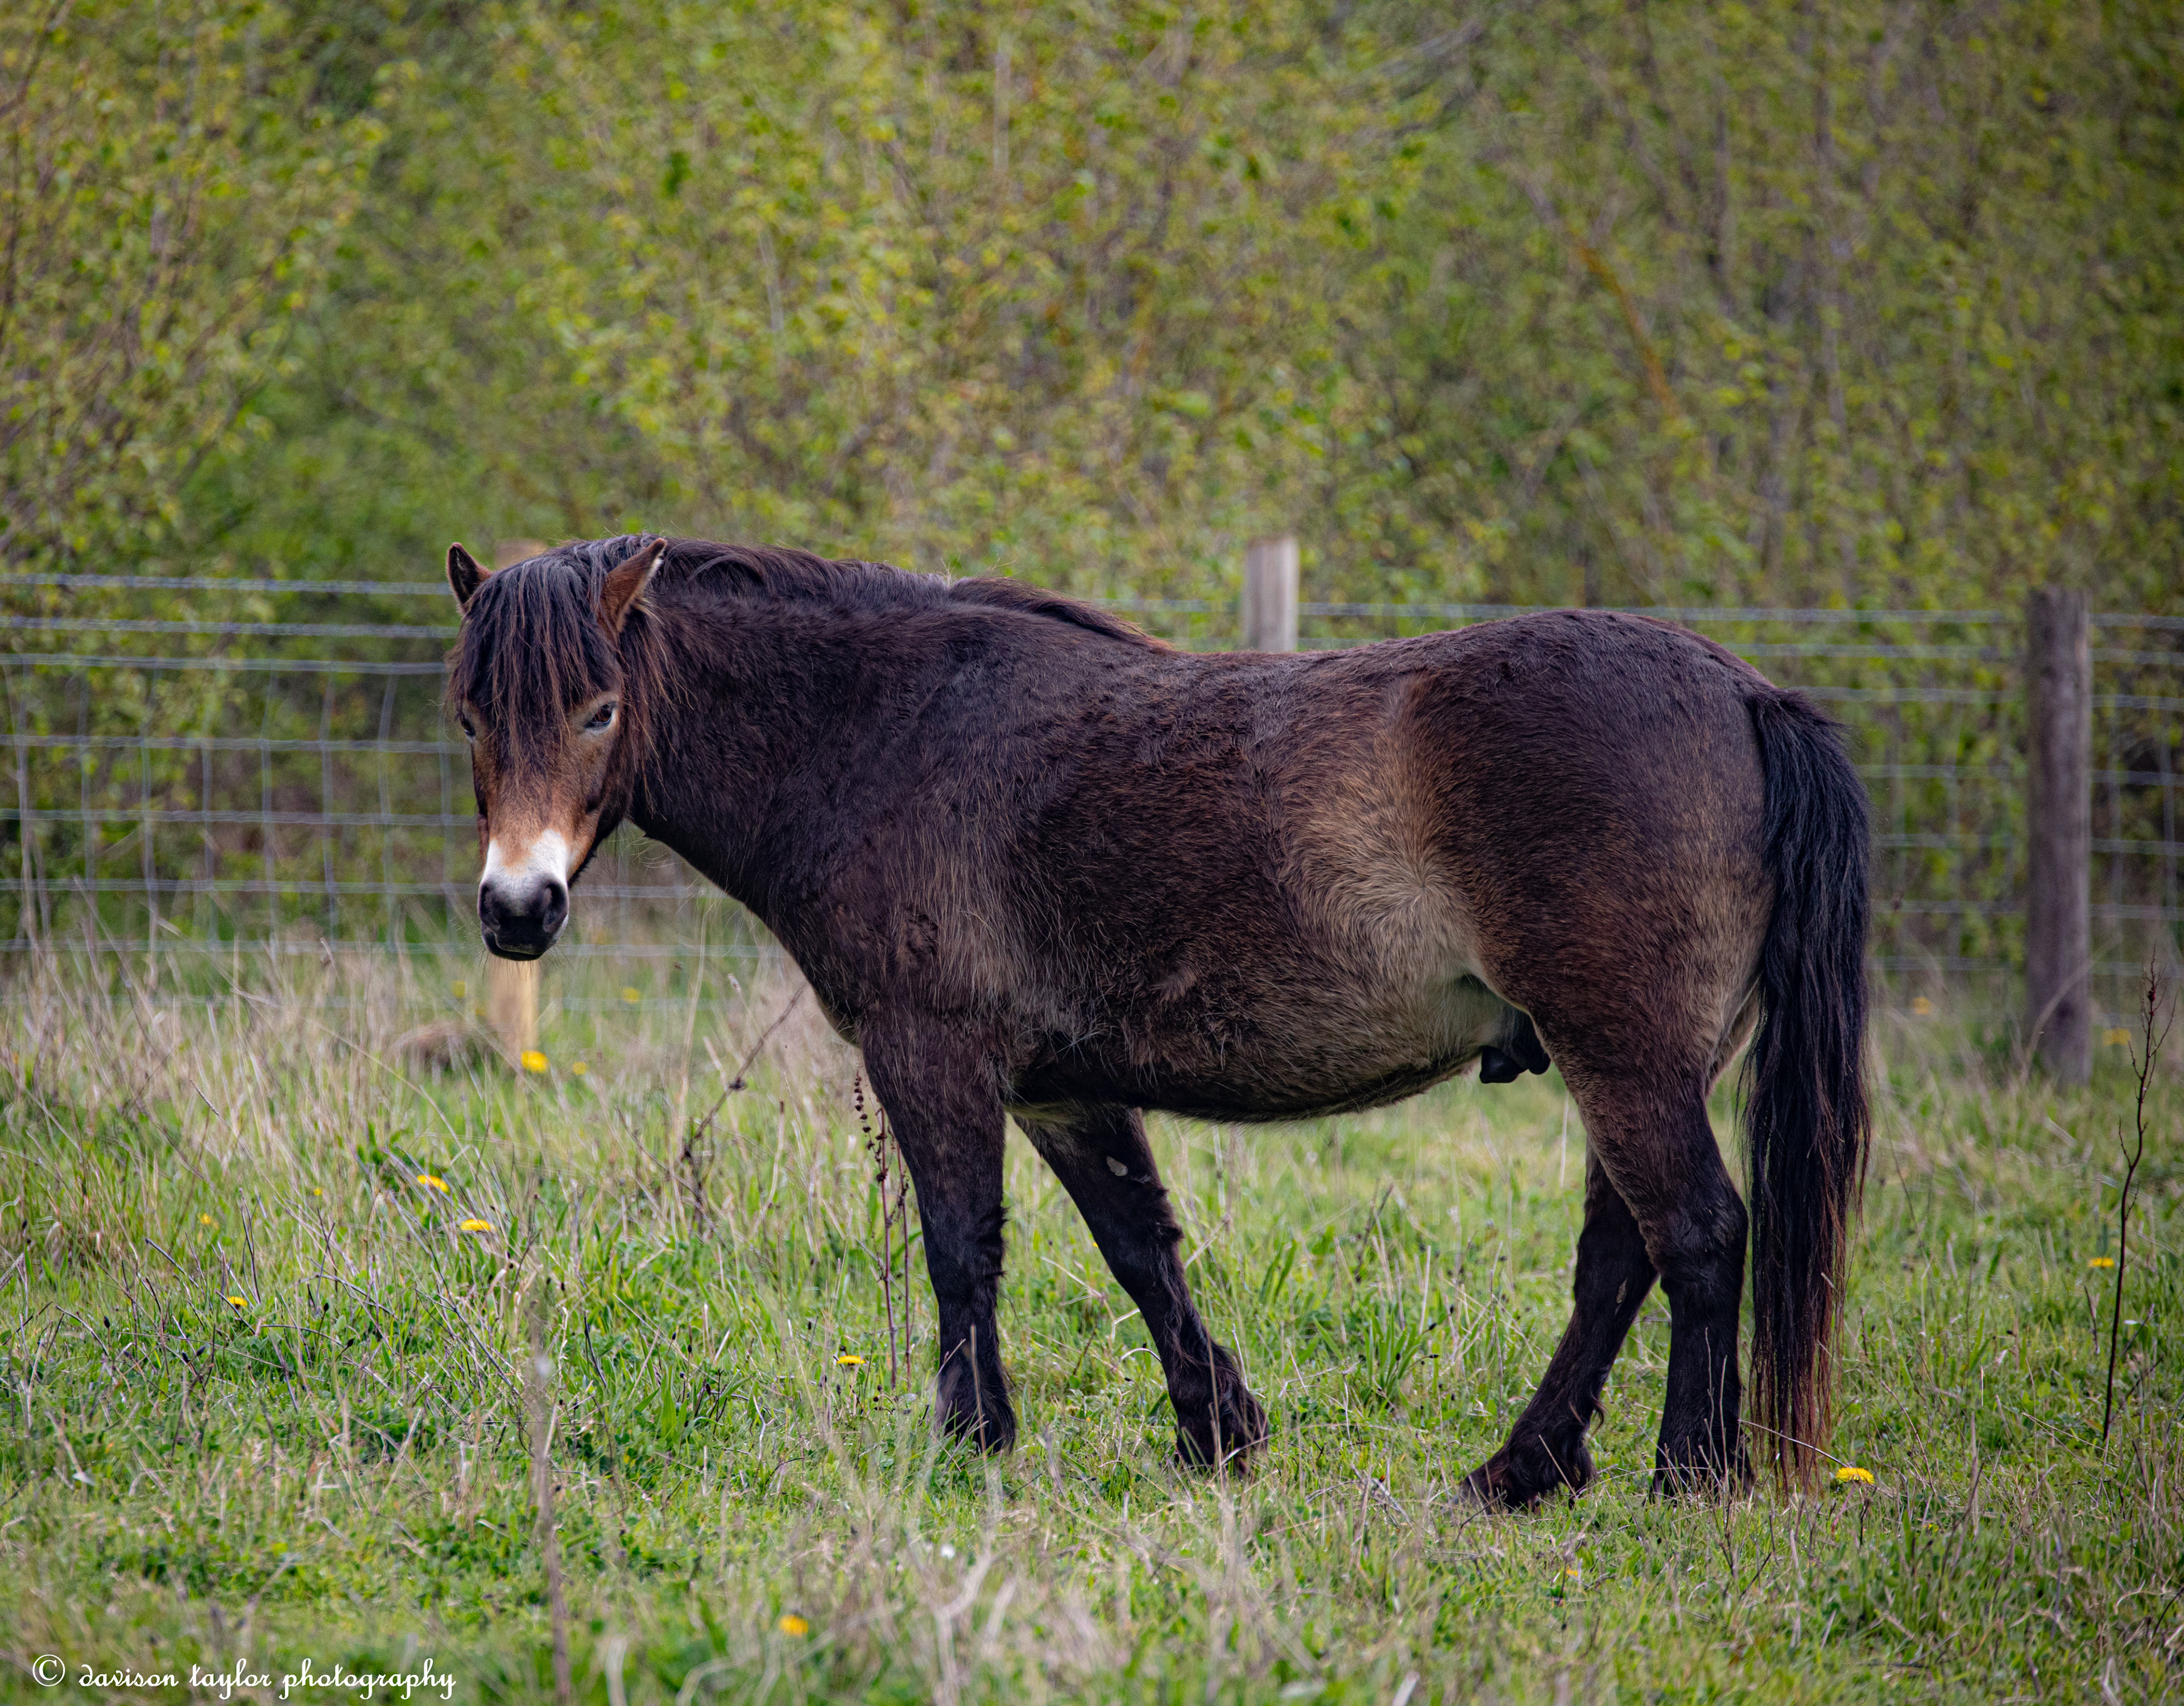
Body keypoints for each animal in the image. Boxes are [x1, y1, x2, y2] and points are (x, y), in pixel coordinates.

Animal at [443, 532, 1869, 1503]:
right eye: (471, 713)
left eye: (599, 709)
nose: (517, 906)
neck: (885, 731)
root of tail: (1746, 695)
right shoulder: (1060, 1082)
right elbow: (1139, 1245)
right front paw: (1216, 1430)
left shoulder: (931, 1049)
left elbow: (961, 1246)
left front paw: (972, 1440)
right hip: (1636, 1059)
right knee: (1620, 1256)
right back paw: (1519, 1468)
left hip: (1623, 1052)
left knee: (1697, 1233)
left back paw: (1689, 1471)